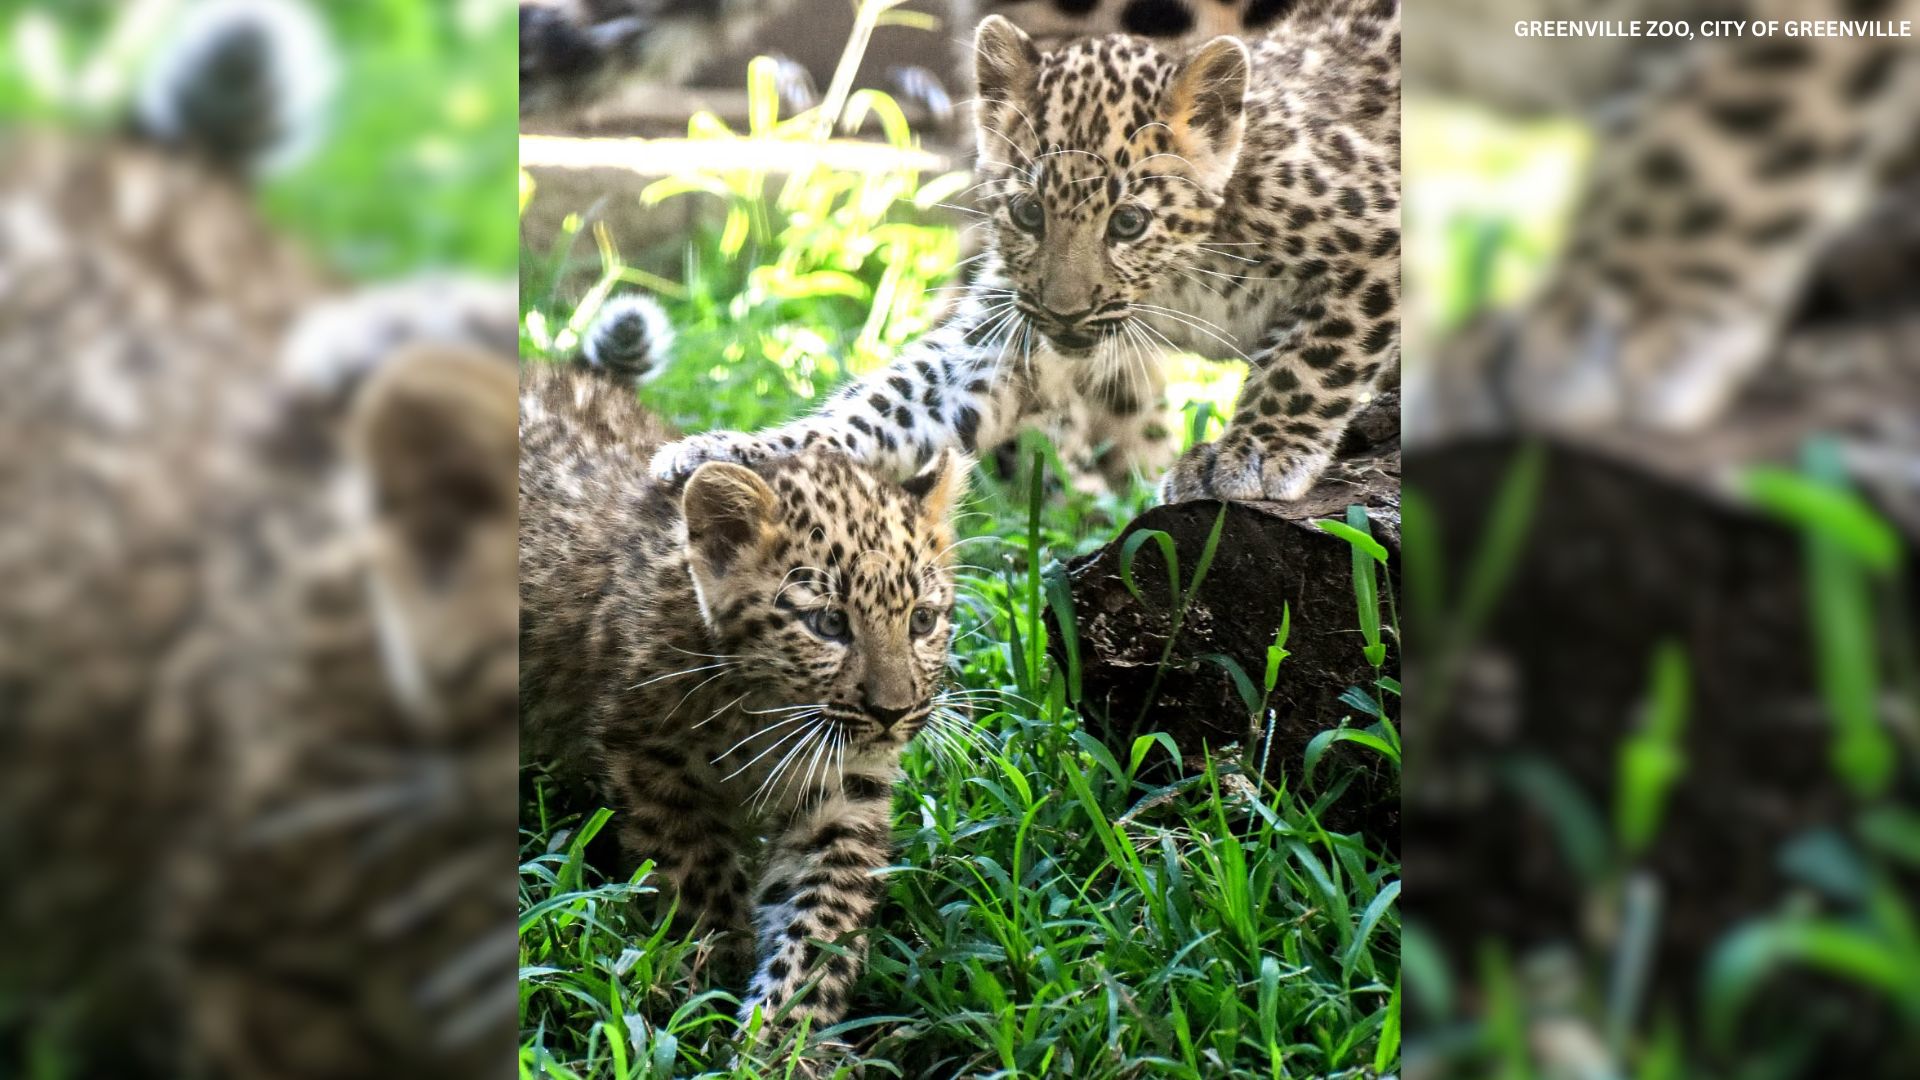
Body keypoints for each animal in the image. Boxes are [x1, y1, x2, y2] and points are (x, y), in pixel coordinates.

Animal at [518, 357, 970, 1033]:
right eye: (828, 624)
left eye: (922, 621)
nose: (891, 714)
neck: (767, 711)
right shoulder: (648, 756)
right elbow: (696, 872)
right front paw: (711, 979)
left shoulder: (845, 788)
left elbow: (822, 918)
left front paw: (786, 1033)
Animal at [652, 0, 1400, 505]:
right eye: (1028, 212)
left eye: (1129, 222)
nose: (1066, 314)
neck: (1176, 281)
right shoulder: (999, 338)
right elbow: (887, 406)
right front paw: (733, 451)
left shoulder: (1377, 241)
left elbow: (1310, 362)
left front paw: (1253, 452)